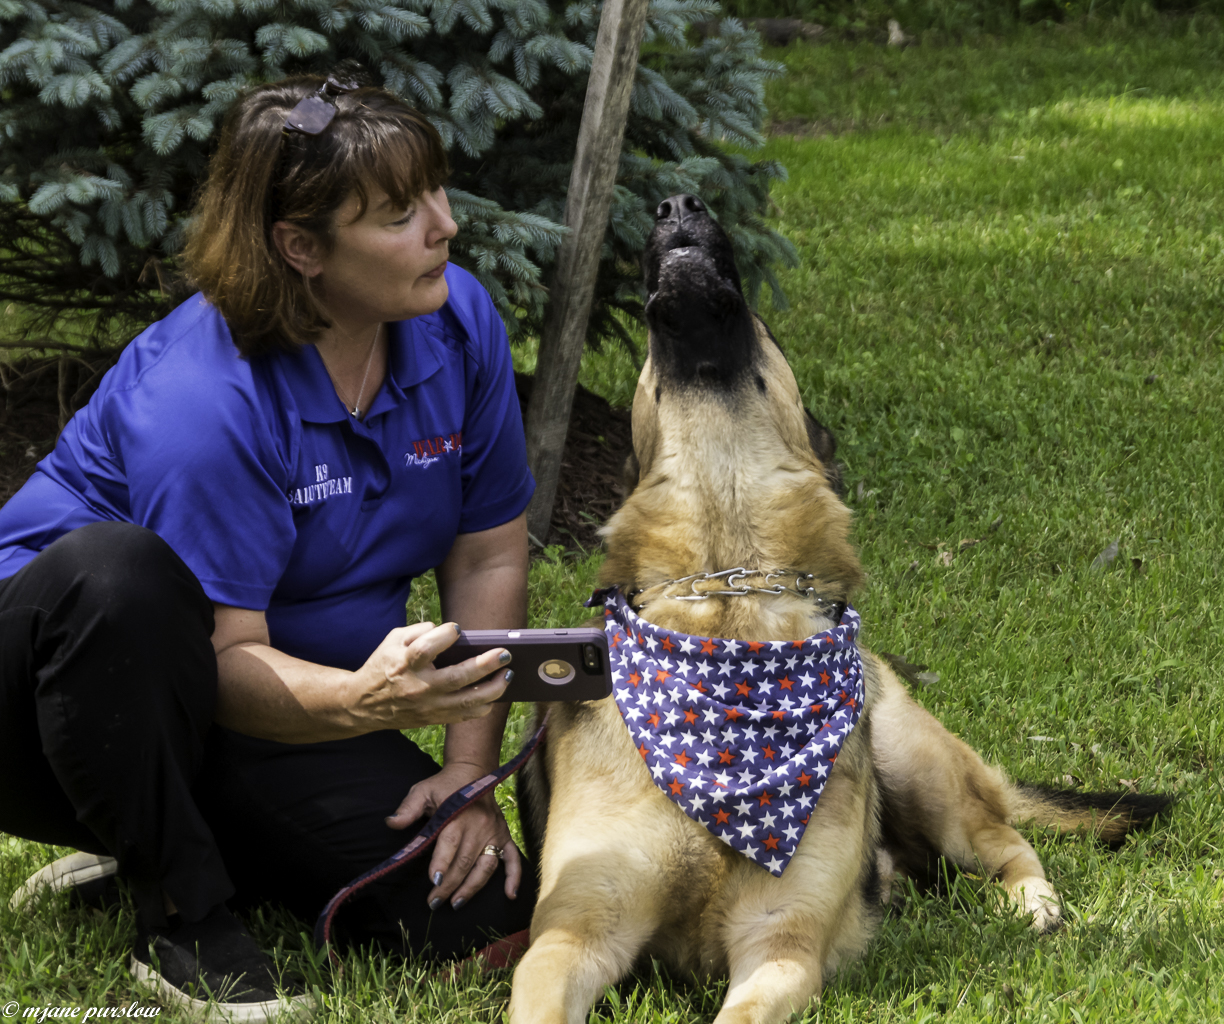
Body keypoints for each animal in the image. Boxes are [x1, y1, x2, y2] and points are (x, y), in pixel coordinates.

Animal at [504, 193, 1165, 1022]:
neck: (731, 593)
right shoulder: (571, 936)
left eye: (765, 326)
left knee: (1004, 841)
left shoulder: (781, 946)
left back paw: (1034, 906)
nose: (679, 202)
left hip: (924, 773)